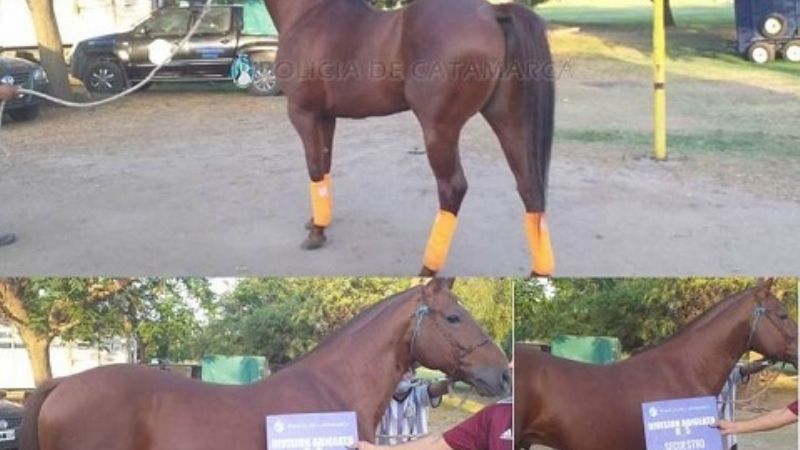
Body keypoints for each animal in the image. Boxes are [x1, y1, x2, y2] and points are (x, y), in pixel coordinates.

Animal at [263, 0, 556, 277]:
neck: (311, 13)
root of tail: (491, 12)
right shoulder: (326, 117)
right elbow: (325, 165)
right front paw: (318, 221)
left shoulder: (304, 114)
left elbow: (314, 169)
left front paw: (316, 233)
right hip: (509, 121)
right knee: (530, 187)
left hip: (439, 130)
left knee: (452, 189)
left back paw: (427, 269)